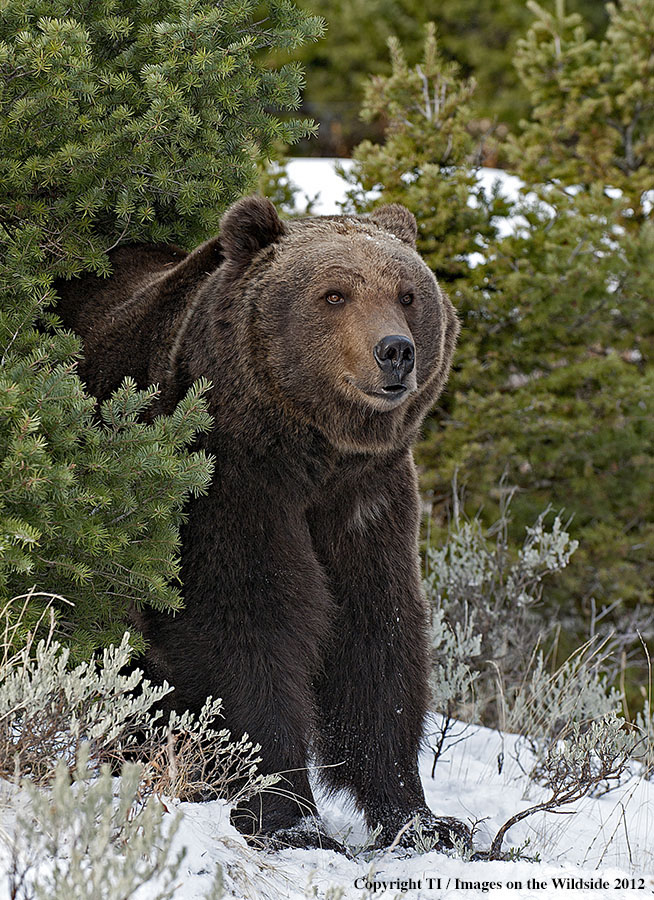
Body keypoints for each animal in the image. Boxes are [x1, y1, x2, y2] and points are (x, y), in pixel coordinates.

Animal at [57, 197, 466, 852]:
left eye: (407, 294)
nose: (395, 351)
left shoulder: (368, 502)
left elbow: (378, 636)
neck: (313, 455)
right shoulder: (228, 483)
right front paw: (288, 817)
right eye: (333, 294)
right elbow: (246, 627)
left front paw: (421, 820)